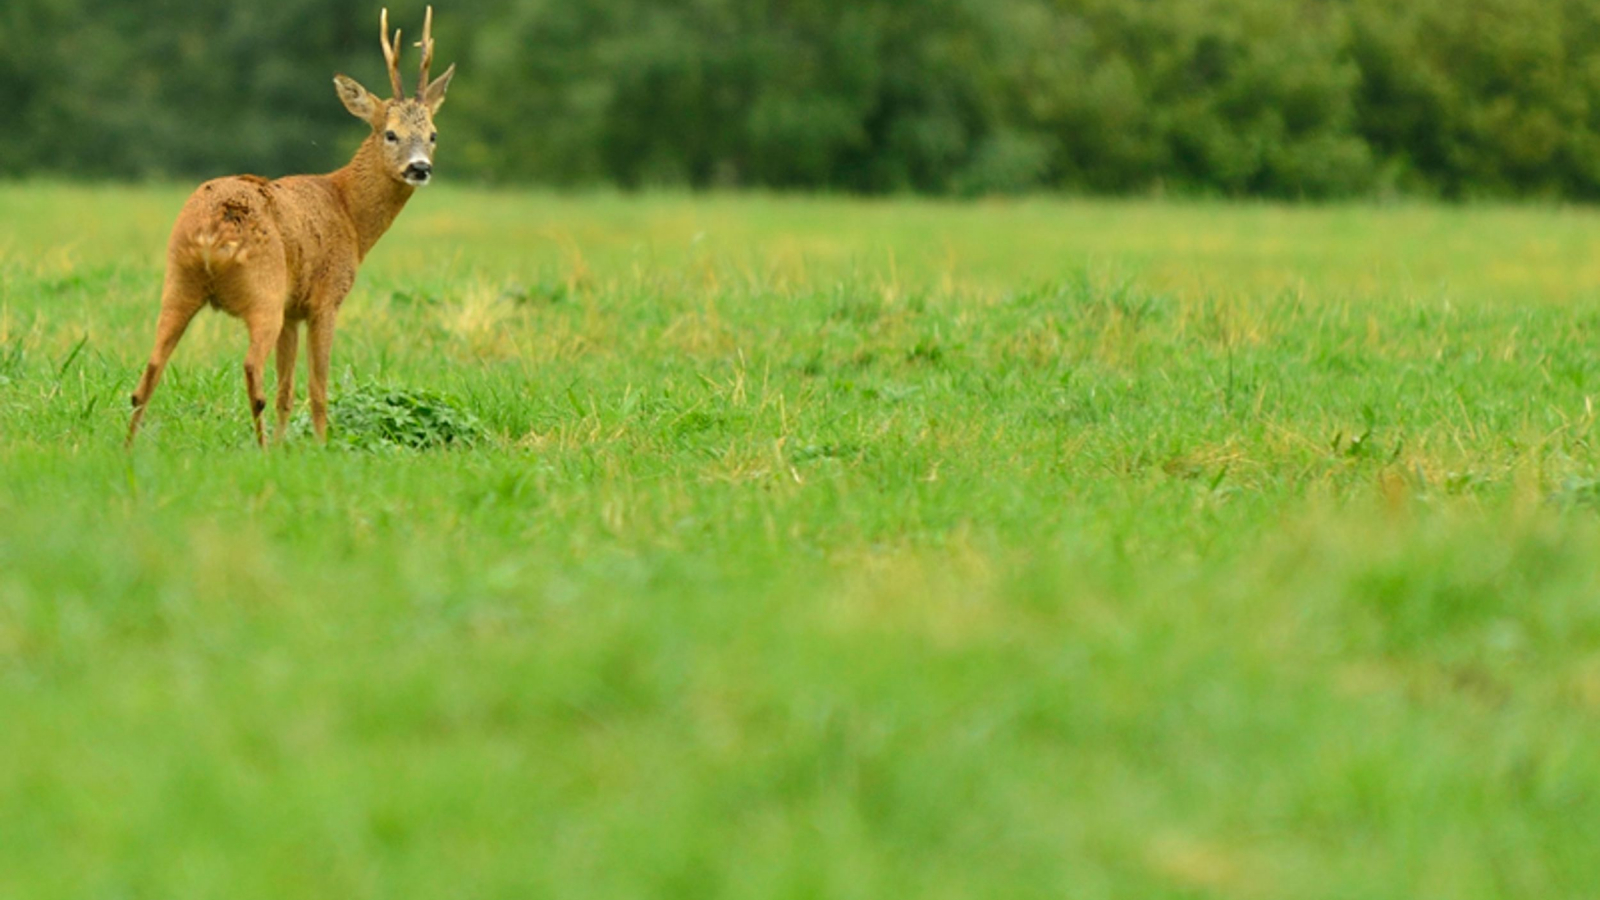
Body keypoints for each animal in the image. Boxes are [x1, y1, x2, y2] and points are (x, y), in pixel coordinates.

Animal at [127, 3, 457, 445]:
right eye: (390, 134)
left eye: (433, 134)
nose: (420, 168)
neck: (349, 212)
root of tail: (212, 232)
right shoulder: (325, 298)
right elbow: (318, 387)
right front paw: (320, 446)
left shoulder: (293, 308)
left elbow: (288, 389)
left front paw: (289, 447)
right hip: (263, 288)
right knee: (251, 368)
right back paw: (261, 447)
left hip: (178, 281)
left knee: (148, 372)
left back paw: (129, 446)